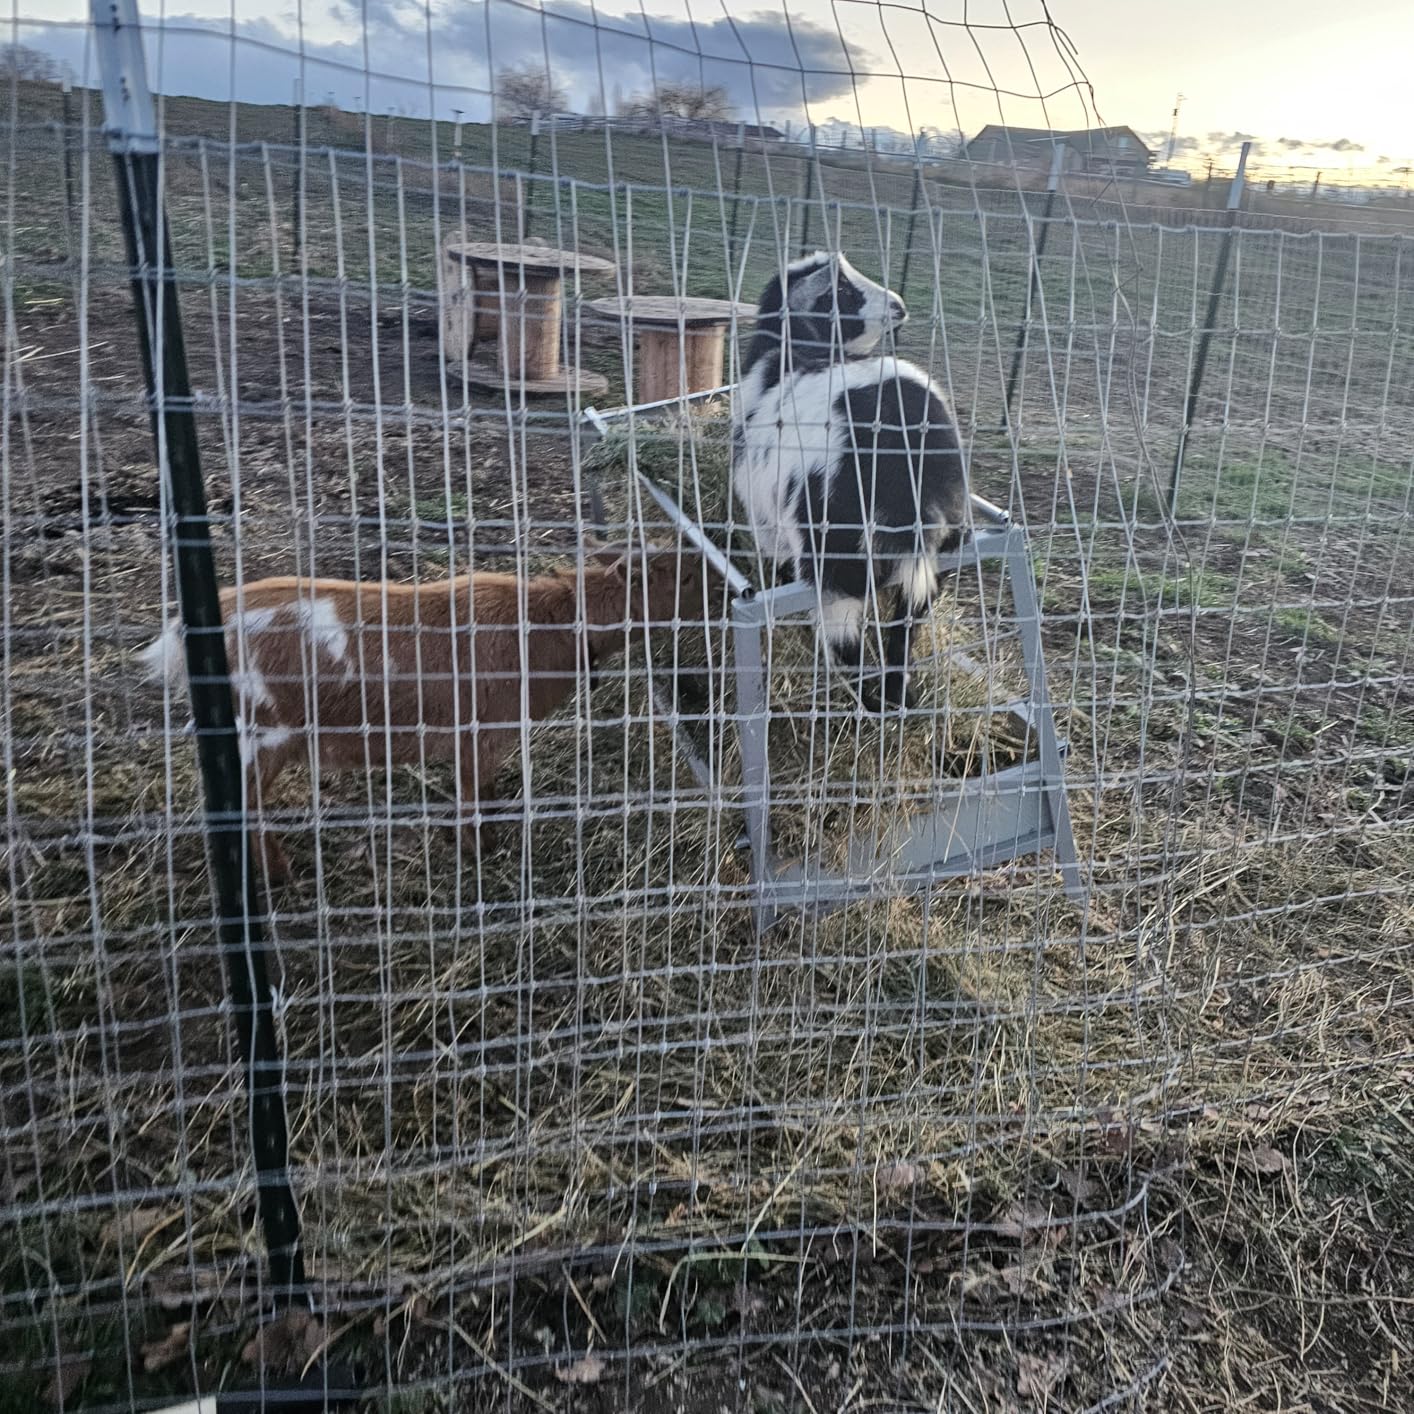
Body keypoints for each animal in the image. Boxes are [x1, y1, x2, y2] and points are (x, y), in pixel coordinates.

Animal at [140, 542, 711, 881]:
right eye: (682, 577)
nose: (728, 581)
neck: (549, 626)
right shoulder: (478, 732)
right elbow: (473, 796)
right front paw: (480, 852)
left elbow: (484, 793)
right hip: (264, 732)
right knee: (246, 804)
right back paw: (279, 874)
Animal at [733, 250, 968, 712]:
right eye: (838, 291)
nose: (898, 306)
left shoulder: (767, 526)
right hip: (941, 546)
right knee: (908, 621)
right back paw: (899, 696)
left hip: (834, 560)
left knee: (845, 641)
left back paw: (872, 703)